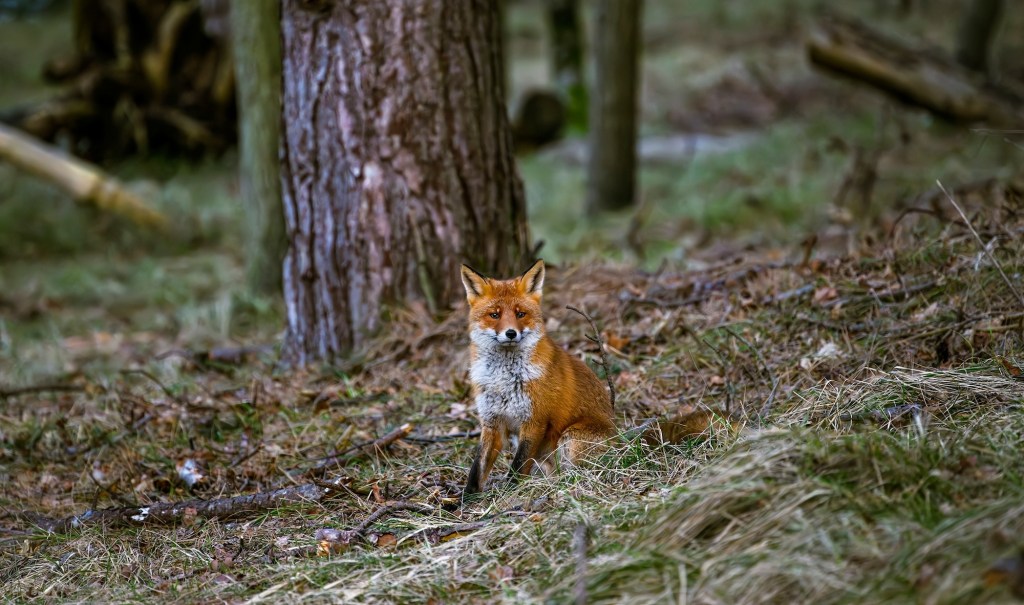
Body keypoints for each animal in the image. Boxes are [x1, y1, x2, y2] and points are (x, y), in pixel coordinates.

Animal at [458, 257, 614, 495]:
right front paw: (466, 500)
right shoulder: (492, 422)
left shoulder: (534, 421)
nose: (510, 333)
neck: (503, 380)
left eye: (520, 313)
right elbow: (477, 469)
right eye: (494, 315)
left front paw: (509, 494)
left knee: (578, 474)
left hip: (570, 438)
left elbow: (517, 466)